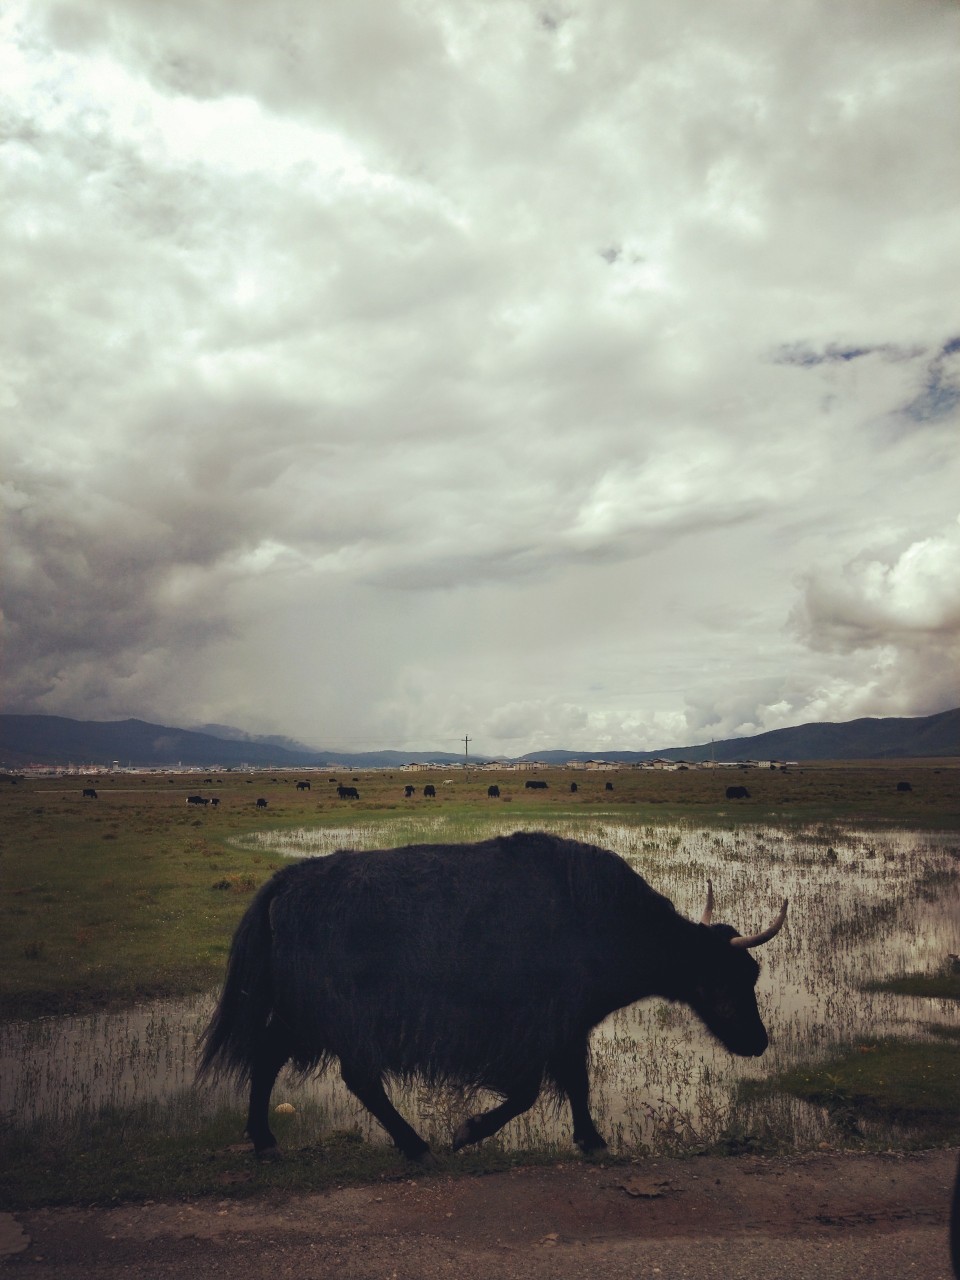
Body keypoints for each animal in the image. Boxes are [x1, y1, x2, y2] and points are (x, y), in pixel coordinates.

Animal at [200, 834, 788, 1167]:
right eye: (733, 975)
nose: (758, 1043)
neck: (604, 921)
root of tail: (286, 884)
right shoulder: (539, 1025)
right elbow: (533, 1090)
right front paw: (468, 1132)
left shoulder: (564, 1026)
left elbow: (572, 1082)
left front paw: (589, 1140)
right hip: (329, 1014)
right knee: (344, 1073)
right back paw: (412, 1147)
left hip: (307, 1015)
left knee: (278, 1059)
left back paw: (271, 1141)